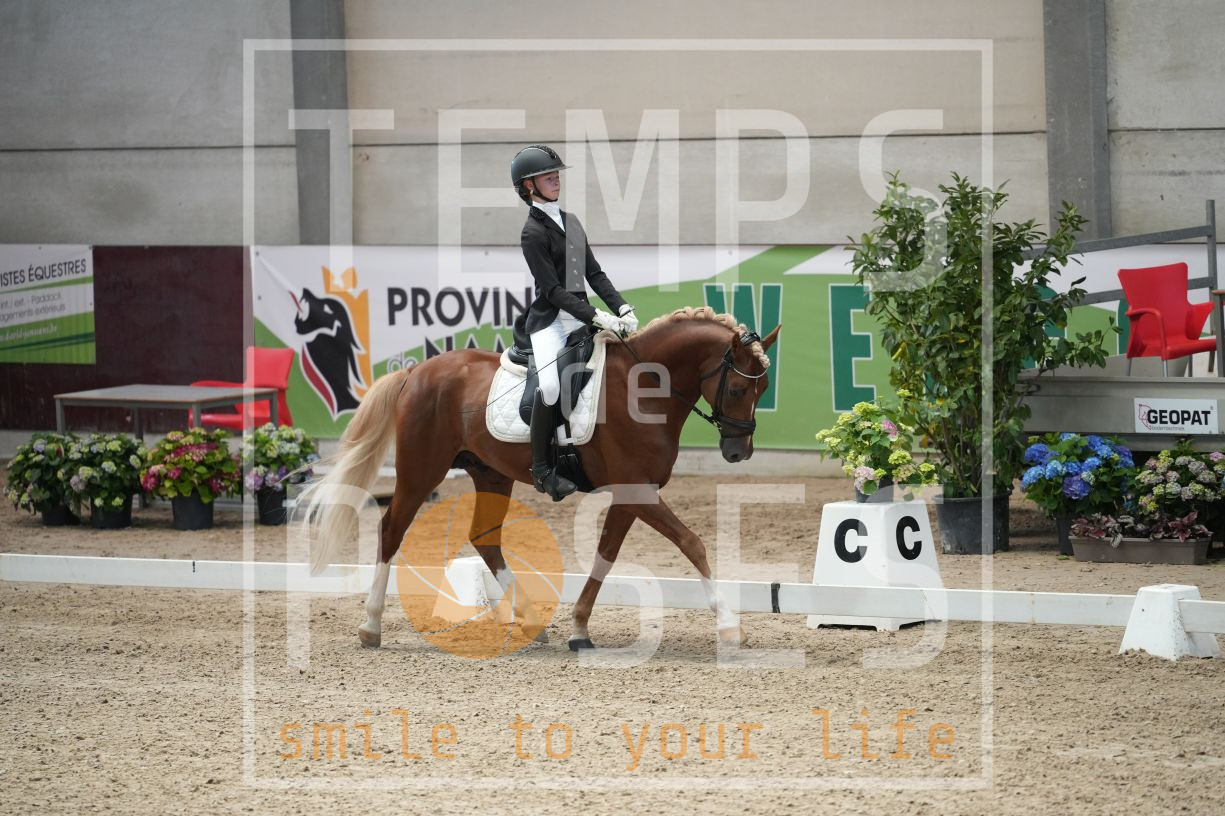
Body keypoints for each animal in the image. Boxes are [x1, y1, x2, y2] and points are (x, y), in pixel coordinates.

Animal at [302, 306, 781, 652]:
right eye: (738, 389)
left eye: (762, 389)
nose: (738, 452)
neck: (645, 387)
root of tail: (416, 371)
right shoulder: (636, 491)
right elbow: (692, 543)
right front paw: (729, 625)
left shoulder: (632, 494)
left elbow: (605, 556)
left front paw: (579, 628)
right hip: (422, 470)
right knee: (391, 530)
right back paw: (370, 626)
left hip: (490, 473)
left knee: (485, 539)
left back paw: (532, 622)